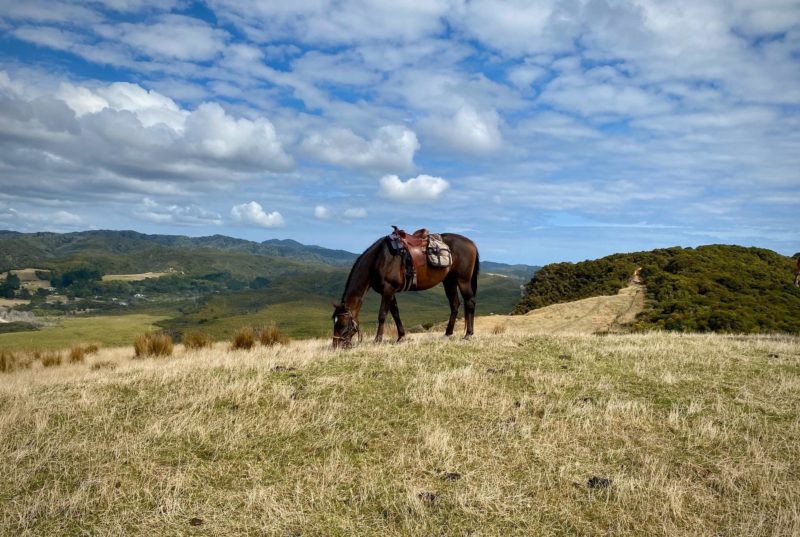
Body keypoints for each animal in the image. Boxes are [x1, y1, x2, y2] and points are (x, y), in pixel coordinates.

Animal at [332, 230, 482, 348]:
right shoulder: (390, 292)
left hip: (463, 280)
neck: (379, 259)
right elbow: (395, 314)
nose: (336, 346)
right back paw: (447, 334)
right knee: (455, 304)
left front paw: (377, 340)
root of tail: (471, 243)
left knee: (470, 302)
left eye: (342, 324)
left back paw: (468, 334)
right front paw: (401, 337)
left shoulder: (387, 290)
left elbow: (382, 315)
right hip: (449, 281)